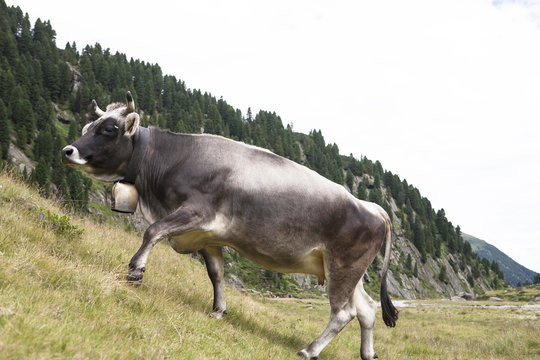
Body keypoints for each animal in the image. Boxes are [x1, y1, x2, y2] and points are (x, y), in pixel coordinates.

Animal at [62, 91, 396, 358]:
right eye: (86, 128)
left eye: (109, 129)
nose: (68, 151)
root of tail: (371, 207)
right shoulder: (208, 236)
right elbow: (216, 274)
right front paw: (218, 310)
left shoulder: (196, 211)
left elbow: (152, 231)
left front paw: (135, 270)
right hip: (344, 270)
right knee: (367, 309)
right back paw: (368, 354)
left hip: (343, 267)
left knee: (344, 313)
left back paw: (309, 350)